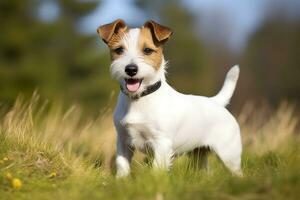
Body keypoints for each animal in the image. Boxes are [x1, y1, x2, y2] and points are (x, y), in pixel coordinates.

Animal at [97, 19, 243, 177]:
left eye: (147, 50)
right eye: (119, 50)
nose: (130, 69)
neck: (139, 99)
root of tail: (215, 101)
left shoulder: (161, 143)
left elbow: (157, 169)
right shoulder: (123, 141)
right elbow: (122, 165)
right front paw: (121, 180)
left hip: (229, 155)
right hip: (199, 154)